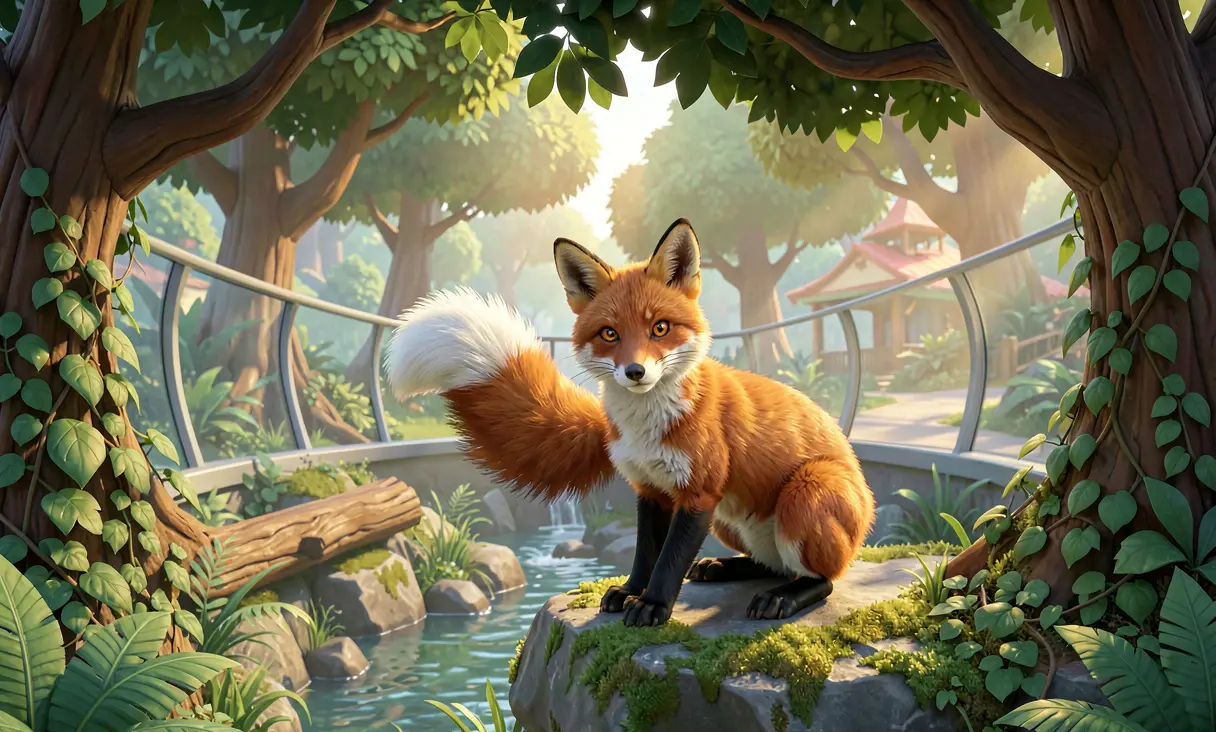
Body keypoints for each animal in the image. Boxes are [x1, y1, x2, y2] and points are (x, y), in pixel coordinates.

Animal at [385, 218, 875, 627]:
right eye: (610, 334)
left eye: (660, 328)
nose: (635, 372)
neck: (647, 430)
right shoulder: (650, 488)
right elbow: (644, 553)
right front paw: (629, 592)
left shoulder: (699, 493)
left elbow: (670, 560)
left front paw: (654, 605)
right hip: (731, 520)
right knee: (770, 563)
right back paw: (723, 567)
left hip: (805, 491)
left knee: (823, 578)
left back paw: (785, 596)